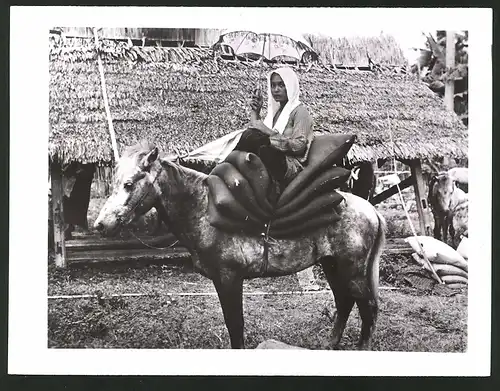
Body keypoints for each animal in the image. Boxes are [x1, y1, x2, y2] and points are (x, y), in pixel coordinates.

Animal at [96, 136, 386, 352]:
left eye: (129, 184)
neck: (204, 208)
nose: (101, 225)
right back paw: (329, 344)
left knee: (367, 307)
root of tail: (370, 209)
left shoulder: (229, 278)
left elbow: (235, 325)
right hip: (332, 265)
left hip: (352, 270)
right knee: (345, 302)